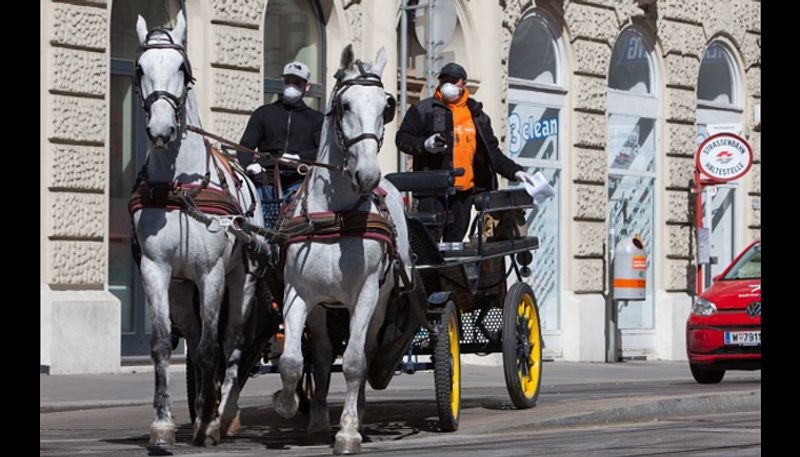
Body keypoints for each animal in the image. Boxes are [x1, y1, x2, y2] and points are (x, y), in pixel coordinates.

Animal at [130, 10, 262, 446]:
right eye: (139, 69)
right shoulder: (155, 270)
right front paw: (162, 423)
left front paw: (207, 420)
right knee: (194, 334)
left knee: (230, 344)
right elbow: (160, 345)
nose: (161, 130)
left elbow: (209, 350)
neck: (180, 186)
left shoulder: (212, 273)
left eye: (182, 69)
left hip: (242, 282)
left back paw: (223, 413)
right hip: (180, 292)